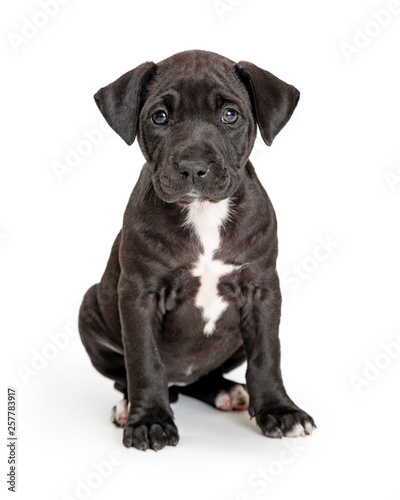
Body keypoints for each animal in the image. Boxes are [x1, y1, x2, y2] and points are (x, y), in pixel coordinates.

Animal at [78, 48, 316, 452]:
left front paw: (280, 410)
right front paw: (149, 421)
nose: (193, 166)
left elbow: (267, 355)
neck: (204, 213)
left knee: (206, 376)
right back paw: (129, 405)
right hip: (90, 306)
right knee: (128, 377)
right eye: (159, 116)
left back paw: (227, 391)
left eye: (230, 115)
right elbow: (144, 361)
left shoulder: (262, 291)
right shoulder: (138, 294)